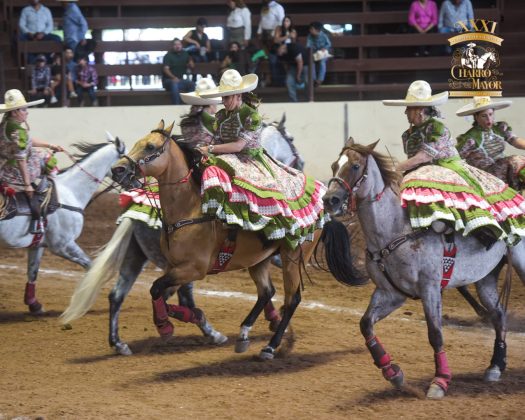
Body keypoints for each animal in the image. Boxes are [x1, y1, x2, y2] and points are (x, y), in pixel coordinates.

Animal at [0, 139, 126, 314]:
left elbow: (32, 272)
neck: (69, 193)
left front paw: (34, 305)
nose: (141, 183)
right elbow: (91, 266)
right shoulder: (63, 245)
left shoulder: (38, 244)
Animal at [61, 114, 302, 354]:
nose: (118, 169)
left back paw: (120, 342)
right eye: (290, 138)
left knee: (118, 295)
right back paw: (214, 332)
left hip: (137, 258)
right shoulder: (195, 267)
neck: (191, 208)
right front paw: (167, 324)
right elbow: (160, 291)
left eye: (150, 146)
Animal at [320, 139, 524, 398]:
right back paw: (495, 366)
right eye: (334, 165)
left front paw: (440, 381)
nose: (330, 200)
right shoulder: (390, 294)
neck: (395, 231)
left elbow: (435, 334)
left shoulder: (430, 289)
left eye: (355, 166)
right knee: (498, 316)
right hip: (485, 278)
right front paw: (393, 373)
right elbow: (365, 324)